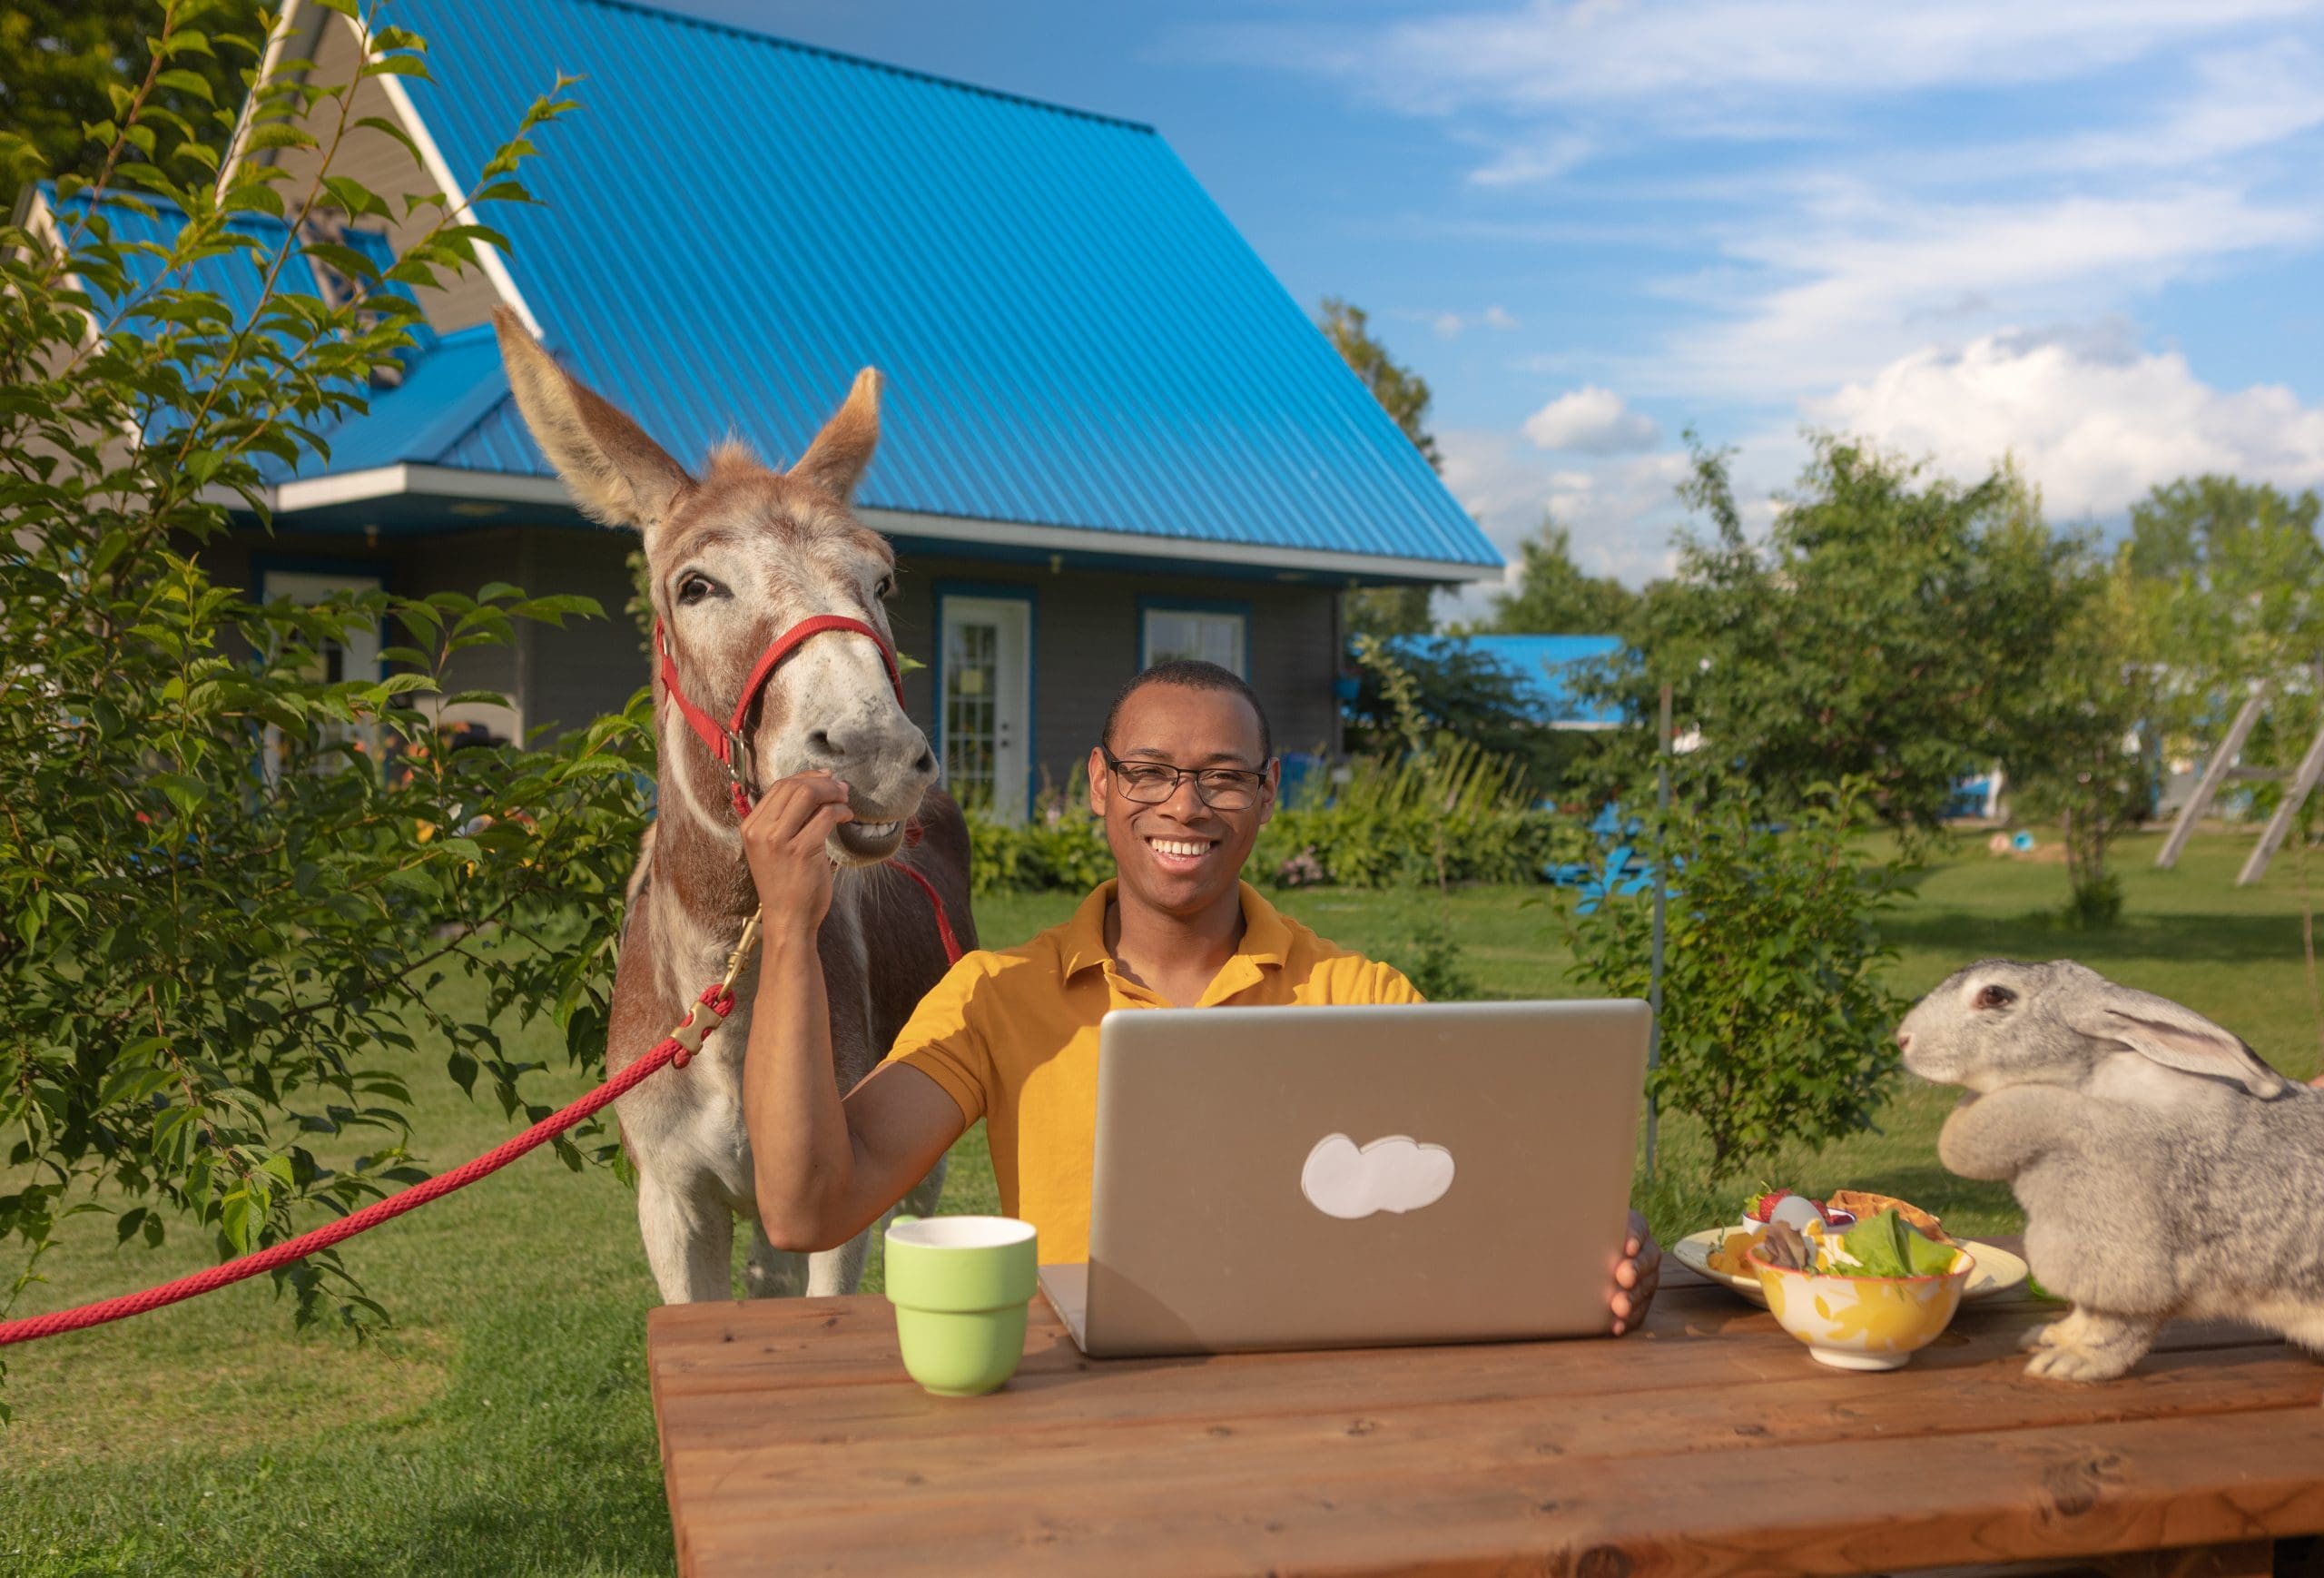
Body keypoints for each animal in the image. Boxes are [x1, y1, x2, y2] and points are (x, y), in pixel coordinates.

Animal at [1886, 952, 2324, 1385]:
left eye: (1994, 995)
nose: (1903, 1039)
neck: (2085, 1083)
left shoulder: (2123, 1258)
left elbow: (2116, 1327)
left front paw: (2067, 1362)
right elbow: (2086, 1315)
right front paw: (2049, 1337)